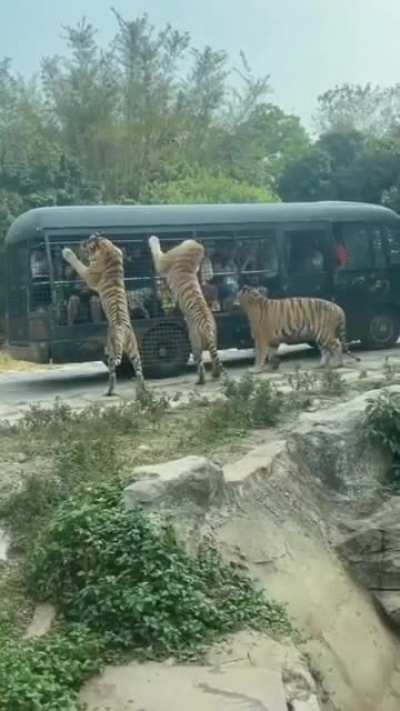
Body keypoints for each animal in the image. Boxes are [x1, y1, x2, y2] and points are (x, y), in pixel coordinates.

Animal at [62, 233, 145, 396]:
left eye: (88, 243)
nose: (81, 241)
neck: (108, 250)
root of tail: (121, 330)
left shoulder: (88, 274)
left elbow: (78, 263)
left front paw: (67, 252)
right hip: (134, 350)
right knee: (139, 371)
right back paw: (142, 391)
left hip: (112, 350)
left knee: (113, 372)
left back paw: (109, 391)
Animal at [148, 235, 223, 385]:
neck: (190, 261)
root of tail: (207, 328)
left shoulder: (162, 261)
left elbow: (156, 250)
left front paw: (153, 238)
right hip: (214, 338)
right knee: (214, 358)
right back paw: (215, 375)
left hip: (194, 341)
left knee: (200, 362)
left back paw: (200, 380)